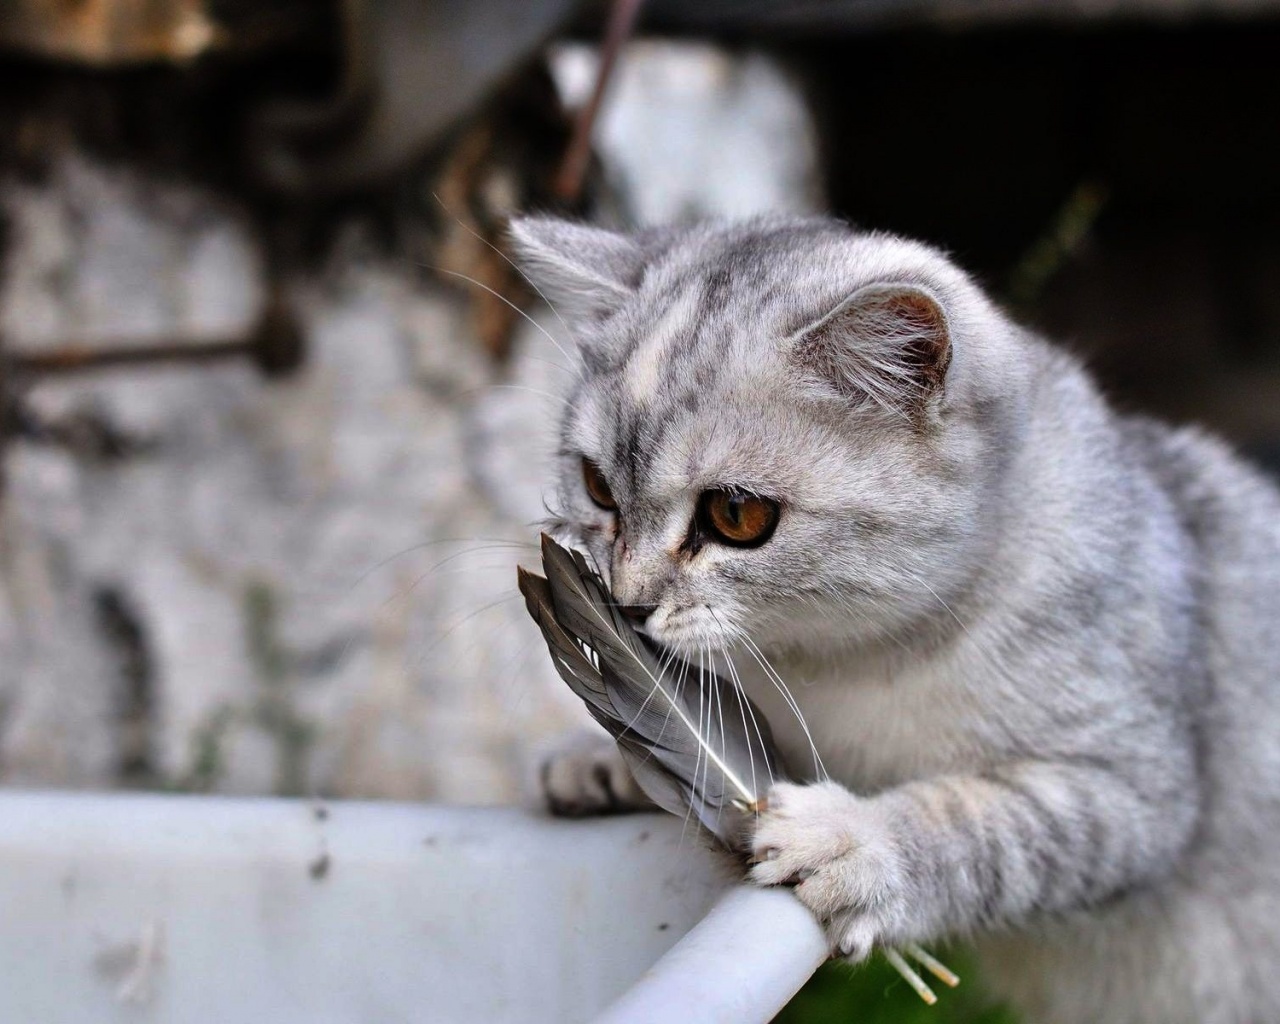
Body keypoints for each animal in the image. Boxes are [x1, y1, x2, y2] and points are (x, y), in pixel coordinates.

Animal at [509, 216, 1280, 1024]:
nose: (627, 603)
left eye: (736, 515)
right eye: (596, 486)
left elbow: (979, 827)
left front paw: (859, 844)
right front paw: (598, 755)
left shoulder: (1134, 788)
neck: (836, 663)